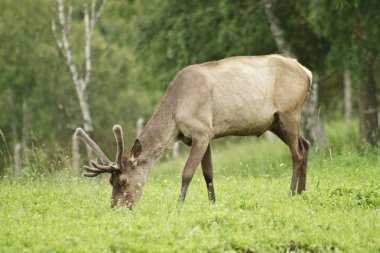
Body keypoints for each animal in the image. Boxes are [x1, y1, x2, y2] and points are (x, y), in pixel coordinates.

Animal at [75, 54, 312, 209]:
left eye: (123, 181)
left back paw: (292, 192)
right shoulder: (203, 135)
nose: (116, 207)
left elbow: (187, 172)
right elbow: (208, 173)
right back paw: (303, 191)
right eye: (110, 182)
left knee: (296, 153)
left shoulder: (201, 131)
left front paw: (179, 204)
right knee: (306, 144)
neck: (176, 112)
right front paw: (213, 203)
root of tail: (307, 72)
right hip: (275, 122)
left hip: (289, 112)